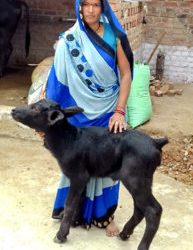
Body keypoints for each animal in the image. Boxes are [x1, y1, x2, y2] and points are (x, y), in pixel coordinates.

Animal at [12, 98, 168, 249]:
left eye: (35, 108)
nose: (13, 110)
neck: (68, 140)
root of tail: (156, 142)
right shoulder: (84, 178)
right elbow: (80, 200)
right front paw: (74, 223)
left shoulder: (78, 176)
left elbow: (69, 203)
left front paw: (61, 235)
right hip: (142, 180)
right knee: (139, 208)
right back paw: (124, 234)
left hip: (135, 178)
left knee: (153, 210)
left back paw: (141, 245)